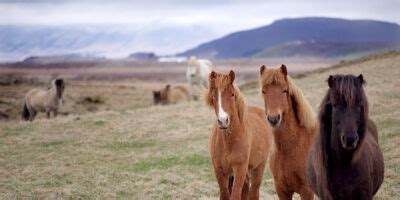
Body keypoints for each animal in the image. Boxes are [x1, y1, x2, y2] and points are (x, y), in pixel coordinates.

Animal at [205, 70, 274, 200]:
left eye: (232, 94)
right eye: (213, 96)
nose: (223, 121)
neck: (228, 142)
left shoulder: (239, 169)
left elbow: (235, 195)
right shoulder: (219, 170)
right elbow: (225, 195)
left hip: (258, 167)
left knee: (254, 192)